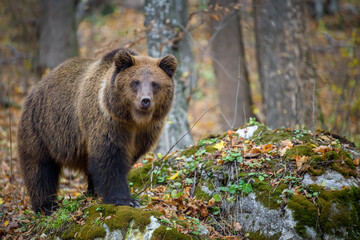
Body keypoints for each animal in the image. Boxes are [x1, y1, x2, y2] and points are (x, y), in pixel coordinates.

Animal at [17, 47, 176, 215]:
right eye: (135, 82)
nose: (145, 100)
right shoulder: (108, 123)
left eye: (155, 83)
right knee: (39, 170)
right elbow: (110, 159)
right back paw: (46, 206)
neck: (133, 120)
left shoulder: (144, 134)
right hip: (41, 130)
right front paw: (126, 200)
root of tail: (35, 89)